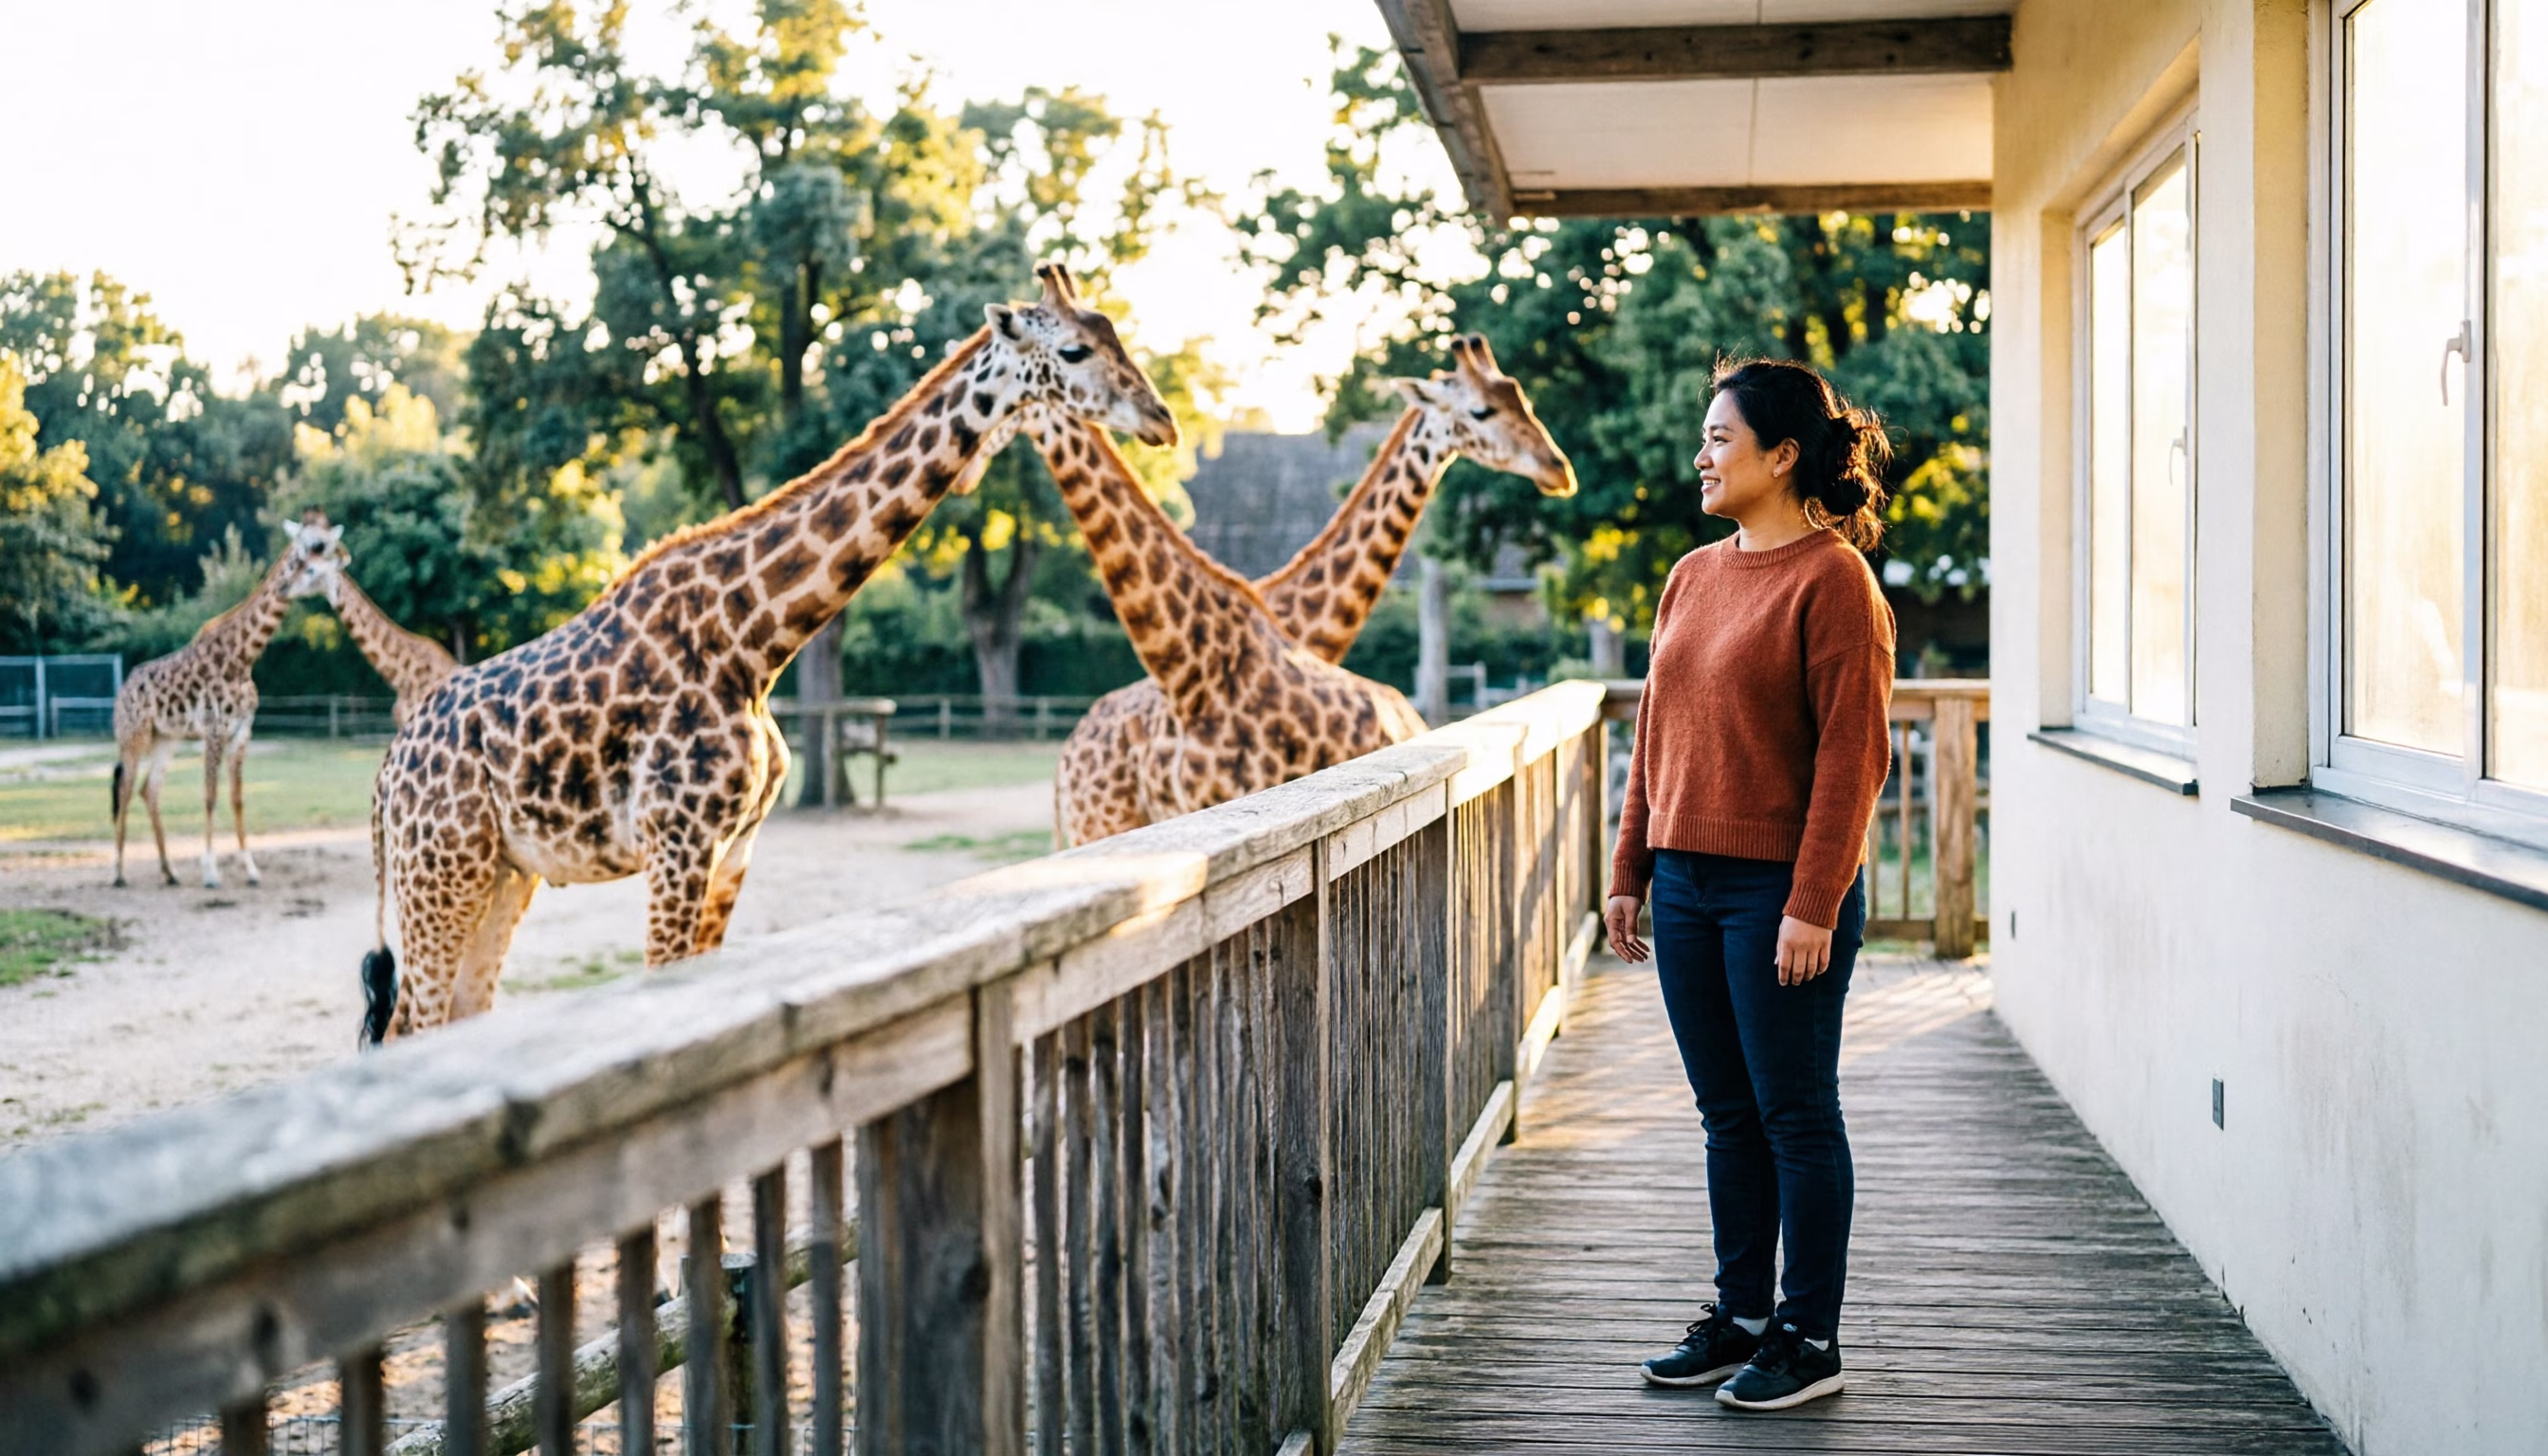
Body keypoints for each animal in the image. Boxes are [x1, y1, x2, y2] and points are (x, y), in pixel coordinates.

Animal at [110, 515, 351, 888]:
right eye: (315, 545)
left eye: (331, 539)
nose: (344, 558)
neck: (242, 659)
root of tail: (123, 689)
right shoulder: (214, 729)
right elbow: (210, 797)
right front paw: (211, 872)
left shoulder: (241, 733)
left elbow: (237, 800)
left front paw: (251, 870)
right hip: (133, 736)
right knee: (124, 788)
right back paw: (119, 872)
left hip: (166, 738)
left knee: (149, 790)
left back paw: (170, 871)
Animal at [360, 264, 1175, 1043]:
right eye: (1074, 350)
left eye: (1112, 331)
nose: (1162, 418)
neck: (755, 643)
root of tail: (386, 777)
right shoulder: (677, 842)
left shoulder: (732, 848)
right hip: (442, 872)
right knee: (411, 1021)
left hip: (503, 873)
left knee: (453, 1012)